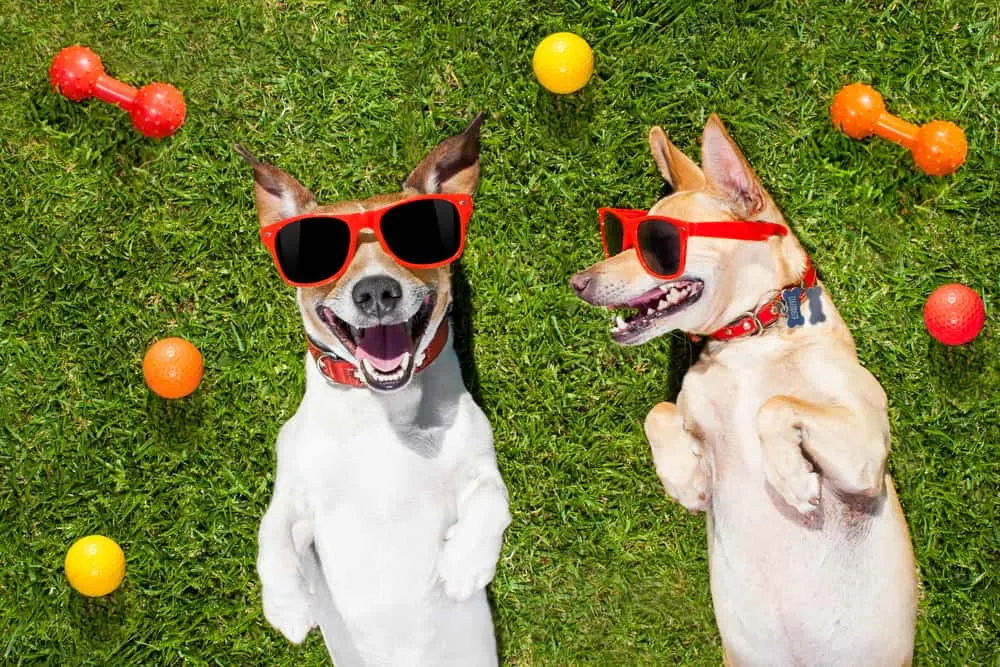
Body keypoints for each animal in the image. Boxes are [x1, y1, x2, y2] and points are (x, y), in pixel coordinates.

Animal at [238, 112, 512, 664]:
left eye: (414, 238)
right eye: (323, 254)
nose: (377, 291)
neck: (382, 411)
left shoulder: (478, 464)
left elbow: (495, 500)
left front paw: (464, 564)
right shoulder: (296, 496)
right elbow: (269, 536)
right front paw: (286, 606)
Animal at [572, 116, 916, 667]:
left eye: (658, 245)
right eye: (620, 237)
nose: (577, 282)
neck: (751, 337)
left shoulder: (865, 457)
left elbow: (774, 406)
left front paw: (791, 479)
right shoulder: (690, 410)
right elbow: (658, 412)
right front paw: (684, 481)